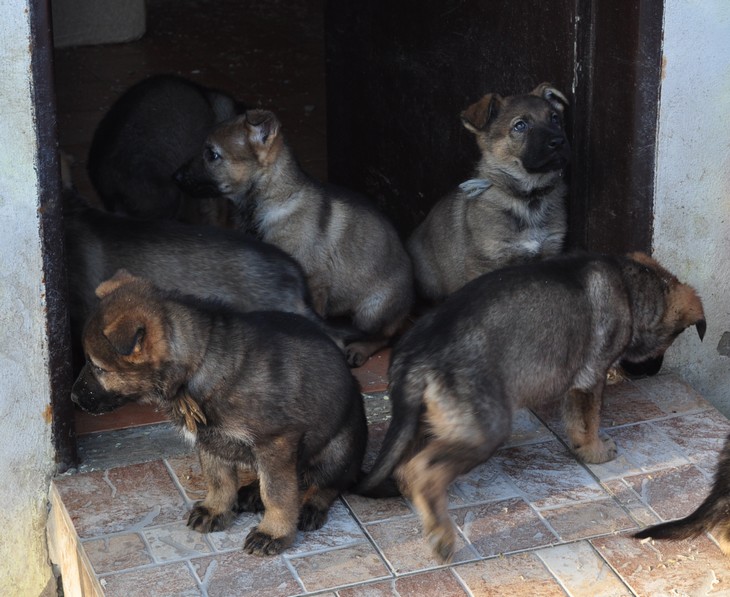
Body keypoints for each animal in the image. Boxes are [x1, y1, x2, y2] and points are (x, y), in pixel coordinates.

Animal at [71, 271, 368, 556]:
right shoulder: (210, 440)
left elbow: (277, 493)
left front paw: (273, 533)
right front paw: (216, 510)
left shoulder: (277, 441)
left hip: (338, 447)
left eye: (98, 368)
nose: (73, 398)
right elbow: (219, 480)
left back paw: (310, 506)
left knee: (328, 482)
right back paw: (251, 493)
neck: (197, 366)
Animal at [174, 109, 414, 367]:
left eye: (212, 154)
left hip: (372, 309)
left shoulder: (313, 281)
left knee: (384, 336)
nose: (174, 176)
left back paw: (359, 349)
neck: (271, 200)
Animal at [357, 252, 706, 561]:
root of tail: (417, 354)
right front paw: (595, 451)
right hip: (486, 427)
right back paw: (441, 535)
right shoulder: (590, 378)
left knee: (406, 468)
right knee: (422, 469)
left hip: (424, 417)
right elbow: (588, 420)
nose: (654, 371)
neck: (632, 290)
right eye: (670, 342)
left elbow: (577, 420)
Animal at [407, 83, 570, 303]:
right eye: (520, 126)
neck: (527, 198)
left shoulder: (550, 249)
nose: (559, 141)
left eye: (554, 118)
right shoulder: (486, 261)